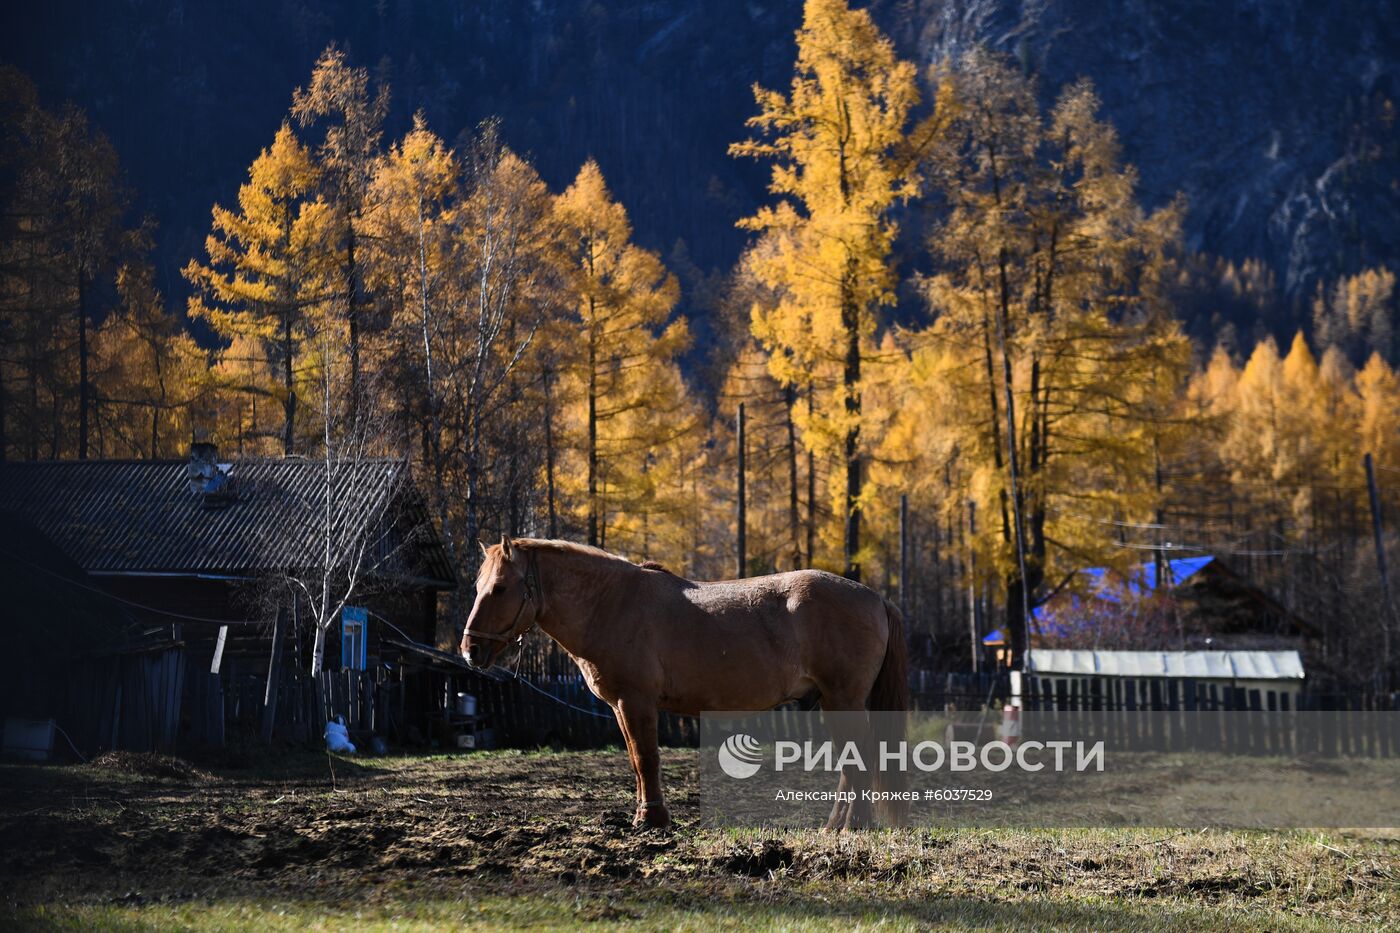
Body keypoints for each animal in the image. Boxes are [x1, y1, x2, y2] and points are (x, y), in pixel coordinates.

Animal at [459, 535, 907, 823]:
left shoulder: (636, 702)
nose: (470, 650)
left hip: (842, 701)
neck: (613, 603)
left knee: (859, 761)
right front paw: (646, 815)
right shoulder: (622, 707)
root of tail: (874, 597)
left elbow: (647, 758)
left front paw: (653, 819)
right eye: (479, 585)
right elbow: (637, 761)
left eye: (499, 588)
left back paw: (850, 827)